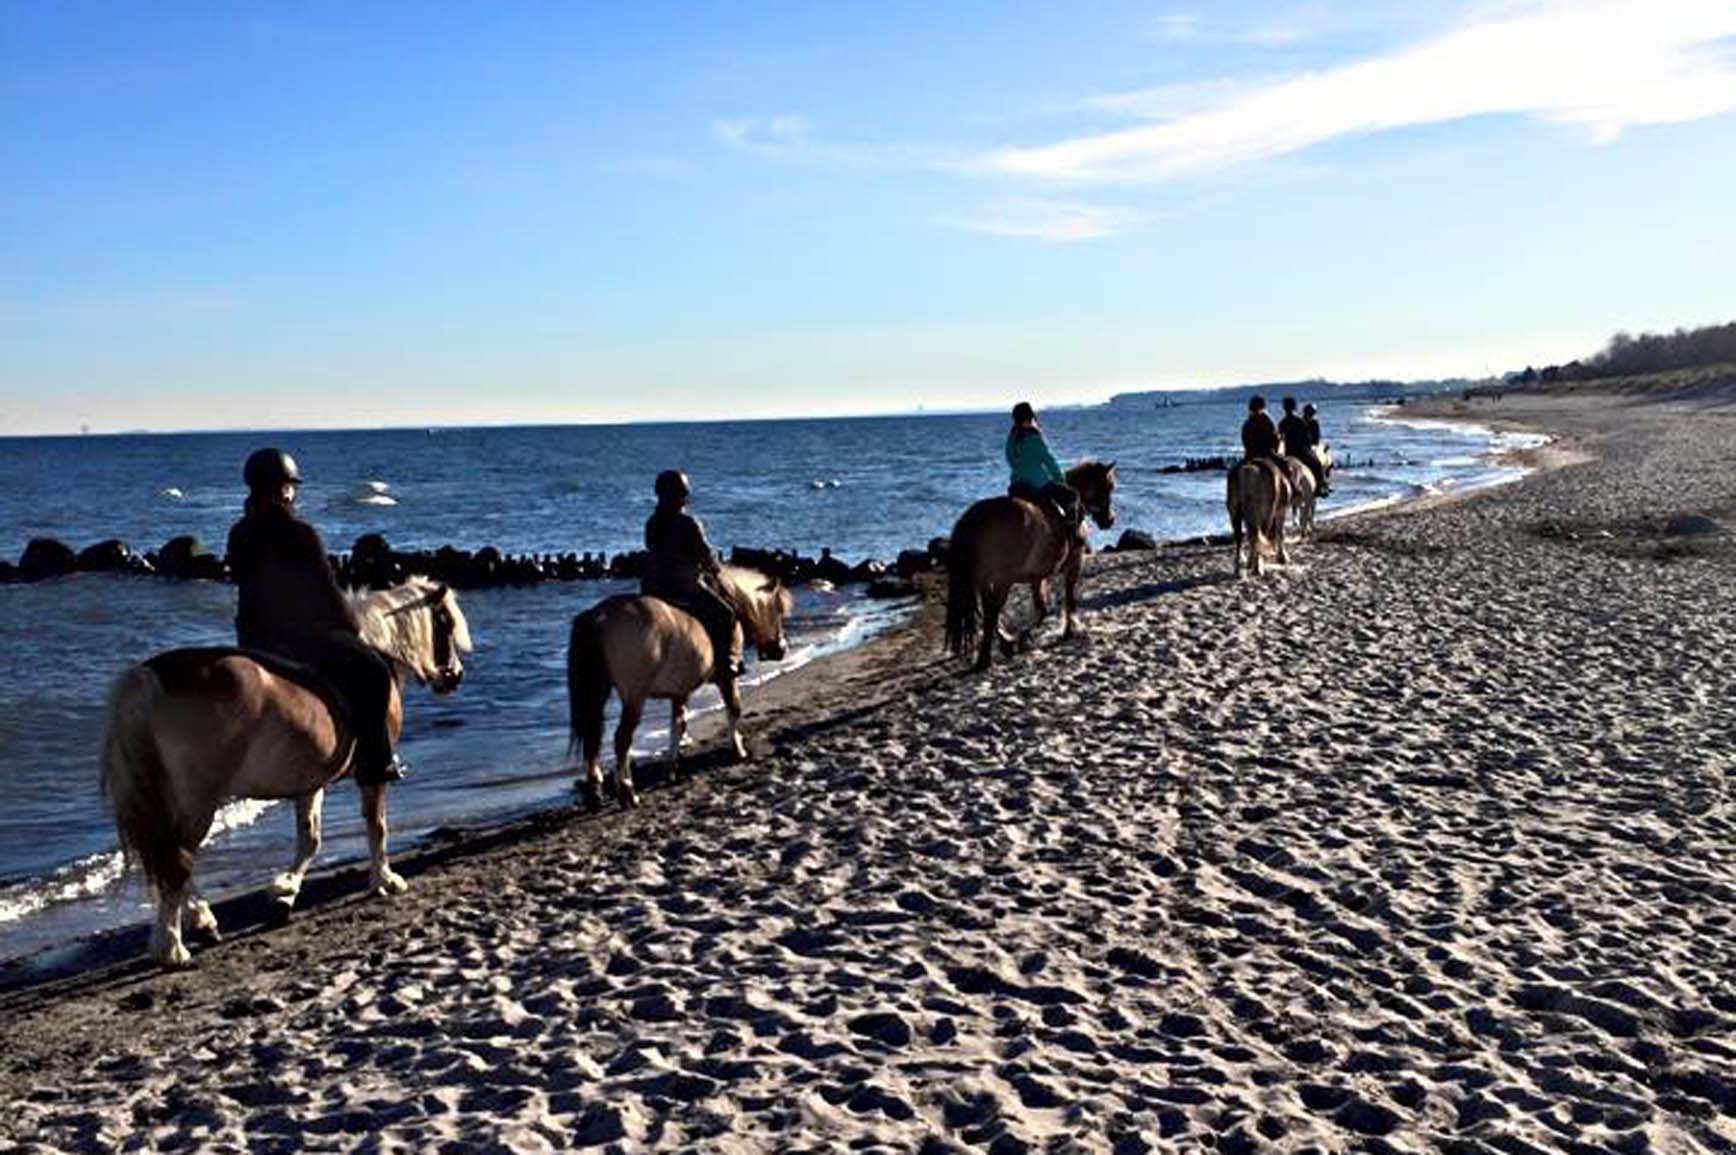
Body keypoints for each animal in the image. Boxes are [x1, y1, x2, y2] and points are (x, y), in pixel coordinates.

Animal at [100, 576, 468, 965]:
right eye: (445, 622)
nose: (455, 676)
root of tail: (147, 678)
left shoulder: (310, 781)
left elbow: (310, 839)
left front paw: (284, 891)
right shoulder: (371, 771)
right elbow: (377, 824)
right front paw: (384, 880)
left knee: (172, 858)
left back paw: (200, 922)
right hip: (197, 799)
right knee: (175, 861)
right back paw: (171, 946)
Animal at [565, 566, 791, 809]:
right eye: (778, 610)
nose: (781, 649)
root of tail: (599, 616)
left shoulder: (680, 691)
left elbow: (678, 725)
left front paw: (670, 770)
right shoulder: (726, 678)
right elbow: (733, 710)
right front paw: (739, 751)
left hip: (597, 693)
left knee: (593, 736)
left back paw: (595, 789)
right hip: (634, 697)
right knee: (621, 740)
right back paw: (627, 791)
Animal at [944, 458, 1117, 670]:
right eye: (1109, 486)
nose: (1110, 520)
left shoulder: (1037, 577)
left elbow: (1041, 609)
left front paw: (1021, 638)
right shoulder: (1073, 565)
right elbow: (1067, 601)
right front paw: (1065, 632)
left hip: (985, 579)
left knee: (989, 611)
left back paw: (1002, 645)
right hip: (1003, 579)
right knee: (992, 611)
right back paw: (987, 657)